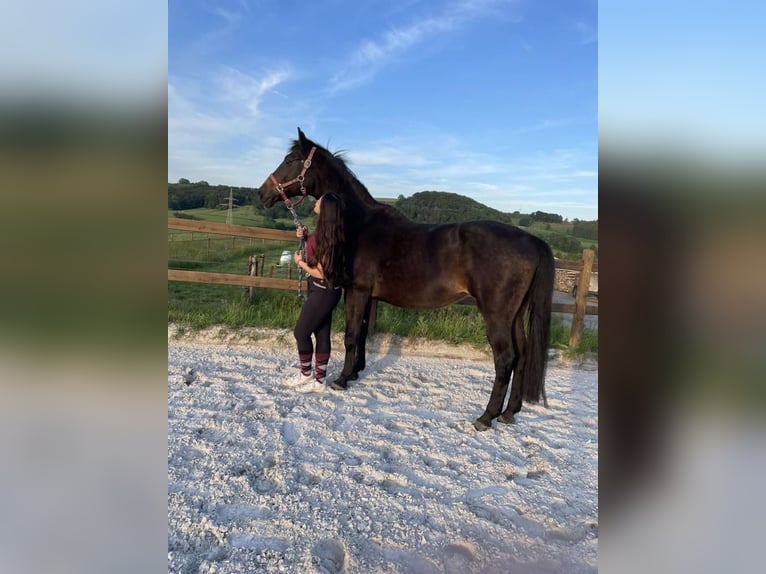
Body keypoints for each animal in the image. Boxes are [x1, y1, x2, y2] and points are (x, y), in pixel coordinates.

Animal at [260, 127, 556, 432]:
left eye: (290, 160)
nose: (262, 193)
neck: (359, 225)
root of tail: (533, 240)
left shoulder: (357, 291)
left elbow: (351, 336)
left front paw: (341, 380)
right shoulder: (369, 296)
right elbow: (362, 334)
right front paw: (355, 373)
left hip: (496, 315)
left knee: (505, 358)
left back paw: (486, 417)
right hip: (515, 315)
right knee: (522, 355)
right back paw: (509, 413)